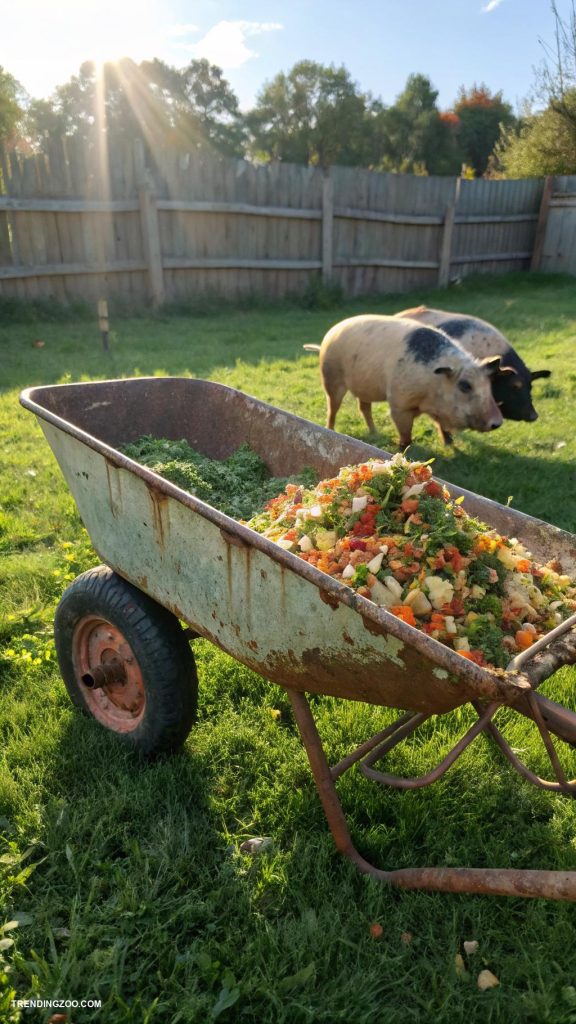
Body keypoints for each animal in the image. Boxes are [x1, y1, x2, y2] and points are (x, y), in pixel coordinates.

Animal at [303, 314, 509, 447]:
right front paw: (402, 448)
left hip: (364, 385)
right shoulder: (399, 403)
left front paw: (449, 444)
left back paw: (374, 433)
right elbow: (406, 433)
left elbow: (441, 426)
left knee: (364, 408)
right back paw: (331, 429)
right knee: (333, 408)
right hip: (331, 377)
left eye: (489, 385)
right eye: (465, 386)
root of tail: (328, 336)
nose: (497, 422)